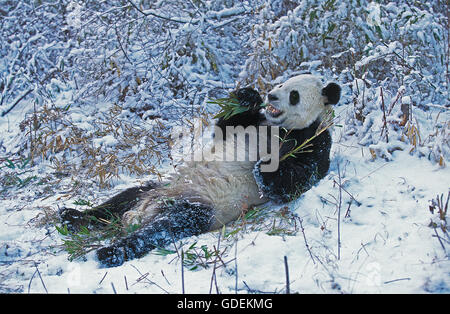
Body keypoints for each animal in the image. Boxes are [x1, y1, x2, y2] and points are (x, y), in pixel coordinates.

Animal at [60, 74, 342, 268]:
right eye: (281, 84)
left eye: (294, 94)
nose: (270, 96)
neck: (279, 127)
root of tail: (144, 211)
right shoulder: (255, 122)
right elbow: (226, 126)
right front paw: (247, 96)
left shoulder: (312, 137)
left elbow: (298, 178)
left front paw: (265, 167)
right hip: (158, 188)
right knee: (120, 200)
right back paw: (72, 216)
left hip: (199, 207)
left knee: (163, 228)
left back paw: (110, 251)